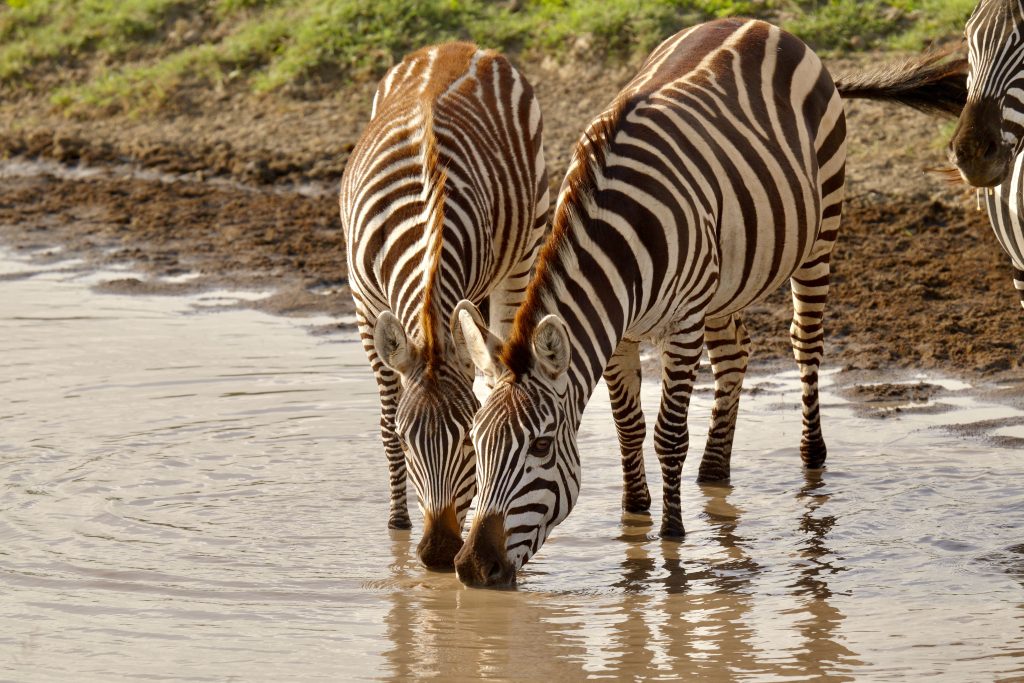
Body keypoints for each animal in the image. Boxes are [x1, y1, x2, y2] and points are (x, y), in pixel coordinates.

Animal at [339, 42, 549, 570]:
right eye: (407, 440)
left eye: (468, 440)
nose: (436, 554)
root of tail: (454, 47)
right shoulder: (363, 301)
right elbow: (384, 415)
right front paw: (397, 521)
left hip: (525, 246)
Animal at [450, 18, 969, 587]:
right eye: (473, 440)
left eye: (541, 446)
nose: (473, 566)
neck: (618, 238)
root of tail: (763, 24)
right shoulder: (619, 333)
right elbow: (628, 428)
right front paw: (634, 519)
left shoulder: (682, 323)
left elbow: (668, 434)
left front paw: (672, 537)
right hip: (729, 280)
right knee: (736, 356)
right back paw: (715, 471)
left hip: (820, 232)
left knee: (805, 345)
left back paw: (811, 462)